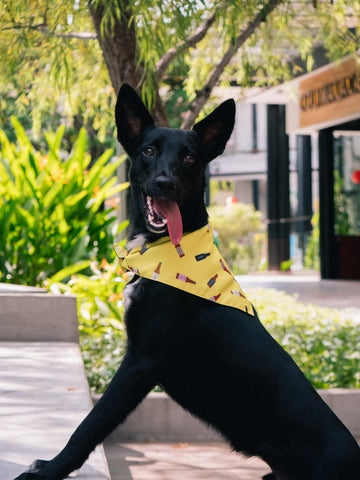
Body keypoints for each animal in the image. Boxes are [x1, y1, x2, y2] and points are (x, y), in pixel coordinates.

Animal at [16, 84, 360, 478]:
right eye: (149, 151)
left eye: (190, 158)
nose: (165, 183)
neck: (168, 251)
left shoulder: (142, 360)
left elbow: (91, 424)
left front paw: (50, 469)